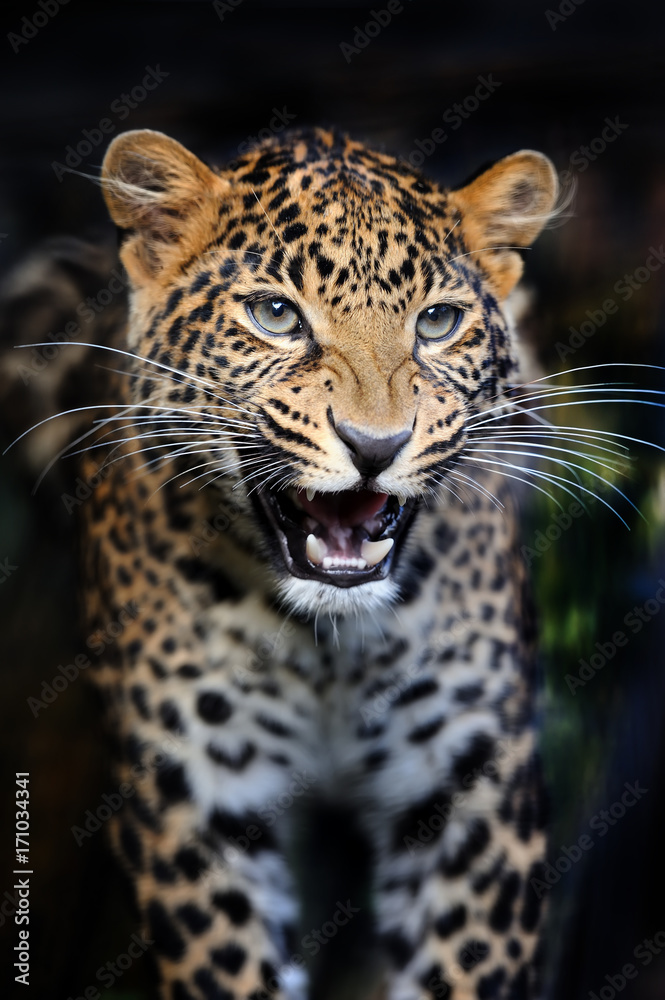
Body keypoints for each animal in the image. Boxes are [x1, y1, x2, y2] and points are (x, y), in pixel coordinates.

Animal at [70, 127, 559, 1000]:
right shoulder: (194, 792)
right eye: (275, 316)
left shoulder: (473, 782)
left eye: (437, 322)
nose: (374, 446)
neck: (328, 647)